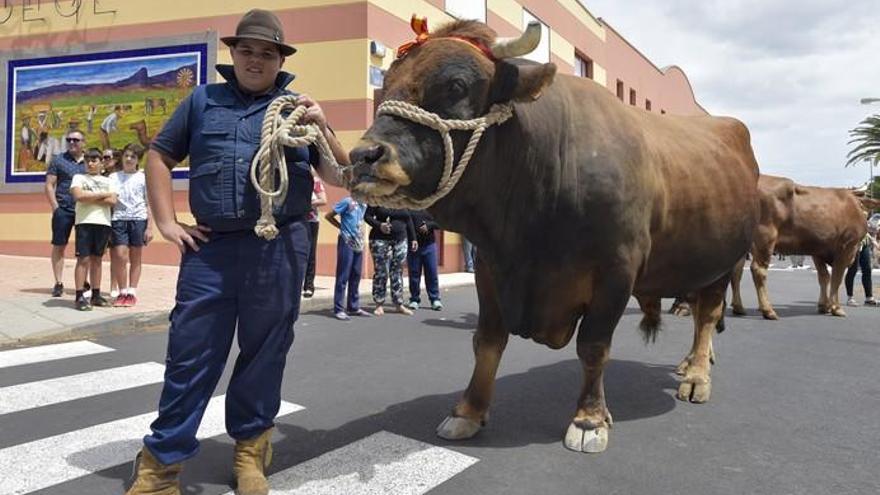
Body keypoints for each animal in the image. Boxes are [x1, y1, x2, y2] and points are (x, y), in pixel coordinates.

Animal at [348, 19, 760, 454]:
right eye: (387, 82)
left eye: (456, 85)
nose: (363, 156)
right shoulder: (491, 266)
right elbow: (487, 340)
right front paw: (468, 411)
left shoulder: (616, 270)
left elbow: (593, 346)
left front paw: (589, 419)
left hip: (725, 262)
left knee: (707, 316)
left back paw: (696, 375)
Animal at [728, 176, 868, 320]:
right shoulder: (847, 247)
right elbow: (837, 278)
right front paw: (836, 308)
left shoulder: (818, 250)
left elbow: (824, 277)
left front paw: (824, 306)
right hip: (765, 237)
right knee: (758, 270)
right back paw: (768, 310)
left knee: (736, 271)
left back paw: (739, 308)